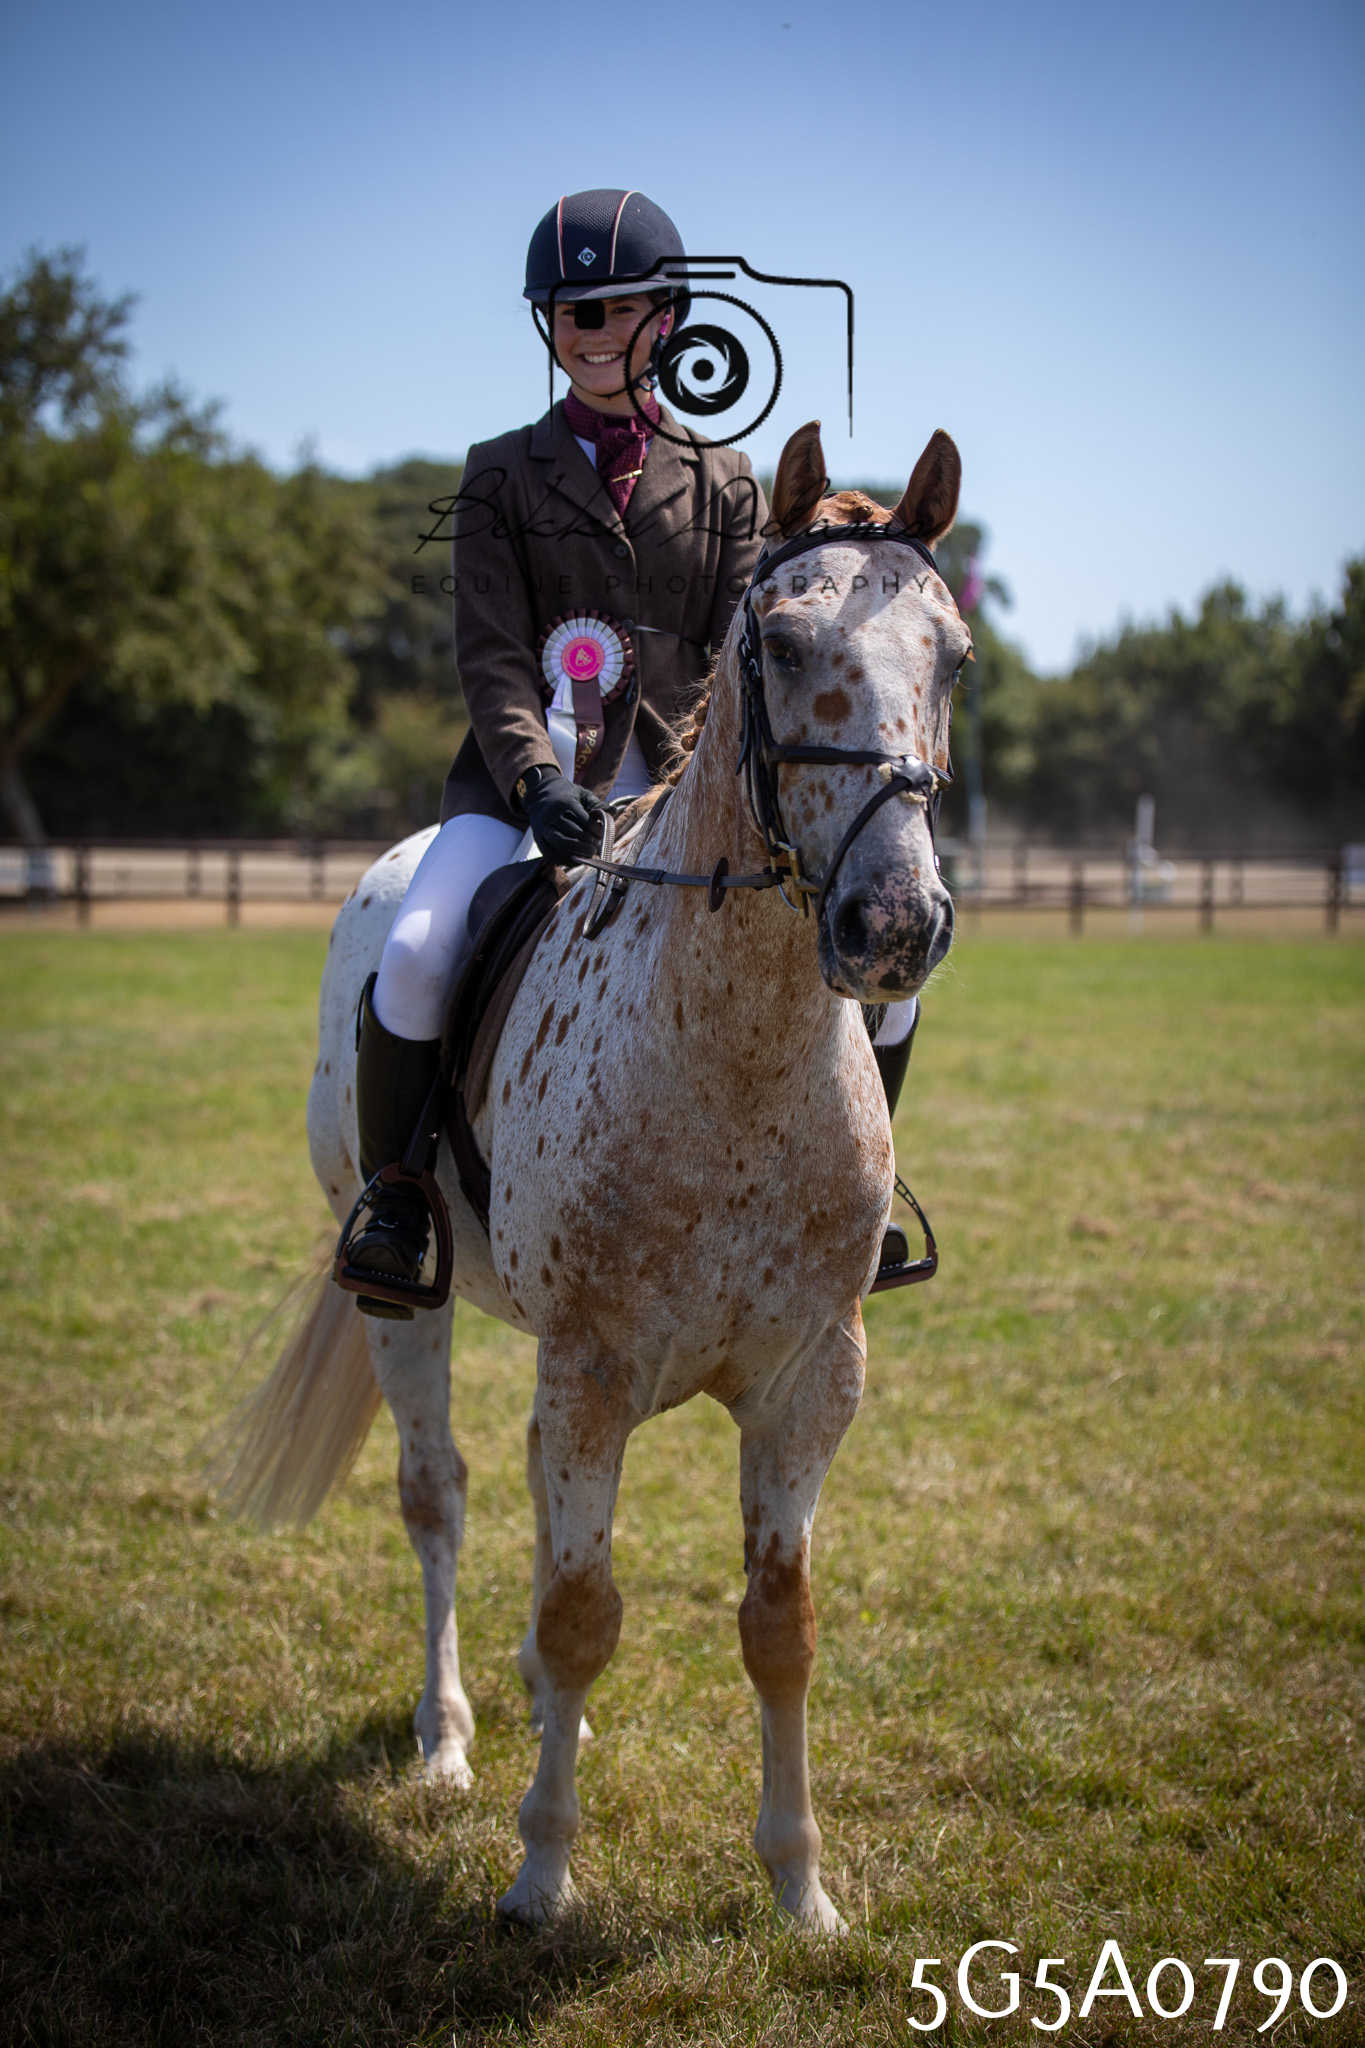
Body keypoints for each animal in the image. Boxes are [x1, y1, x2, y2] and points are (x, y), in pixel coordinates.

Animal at [218, 419, 970, 1932]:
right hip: (405, 1298)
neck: (738, 1060)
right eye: (781, 643)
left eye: (956, 659)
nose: (893, 925)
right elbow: (584, 1612)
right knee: (440, 1493)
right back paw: (448, 1737)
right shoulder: (595, 1367)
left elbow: (778, 1625)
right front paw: (539, 1874)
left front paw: (801, 1889)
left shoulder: (812, 1381)